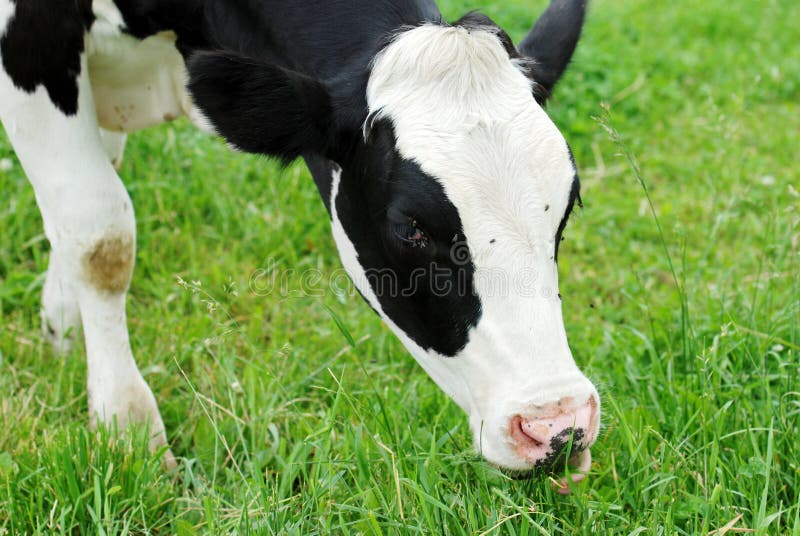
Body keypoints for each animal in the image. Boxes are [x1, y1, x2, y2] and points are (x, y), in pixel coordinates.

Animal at [0, 0, 600, 490]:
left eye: (567, 205)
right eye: (411, 227)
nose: (559, 426)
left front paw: (65, 328)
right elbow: (100, 236)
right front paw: (127, 429)